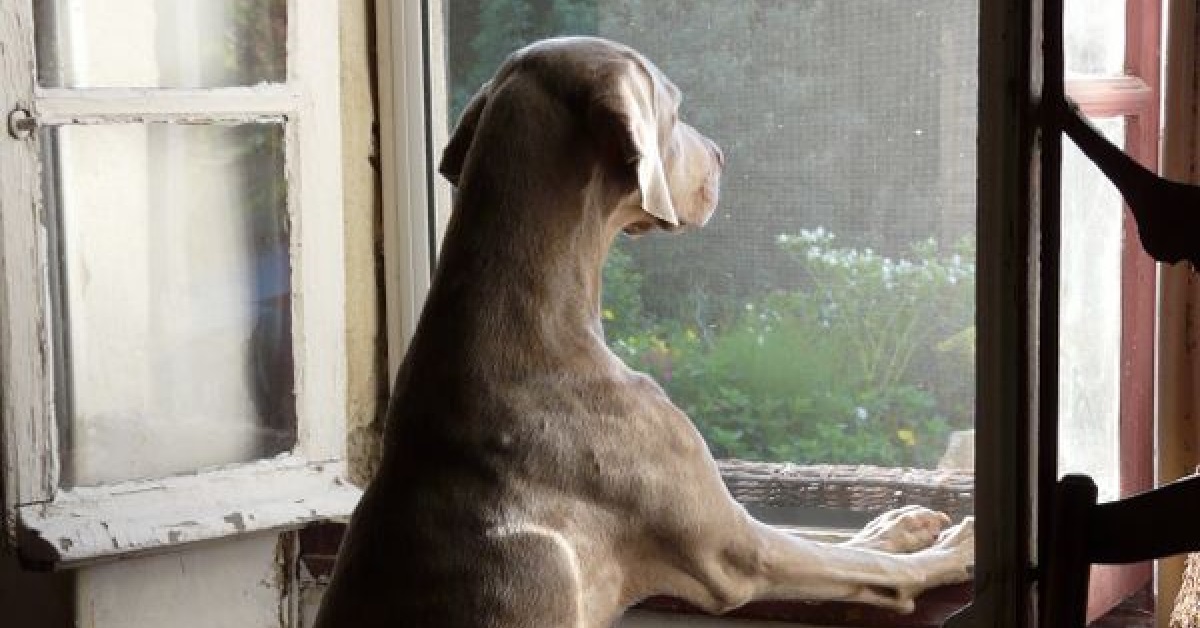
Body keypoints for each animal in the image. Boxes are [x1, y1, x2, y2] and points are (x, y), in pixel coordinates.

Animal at [316, 36, 974, 624]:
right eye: (676, 111)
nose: (721, 154)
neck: (536, 320)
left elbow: (844, 545)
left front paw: (899, 524)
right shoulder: (734, 550)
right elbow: (862, 568)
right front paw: (953, 551)